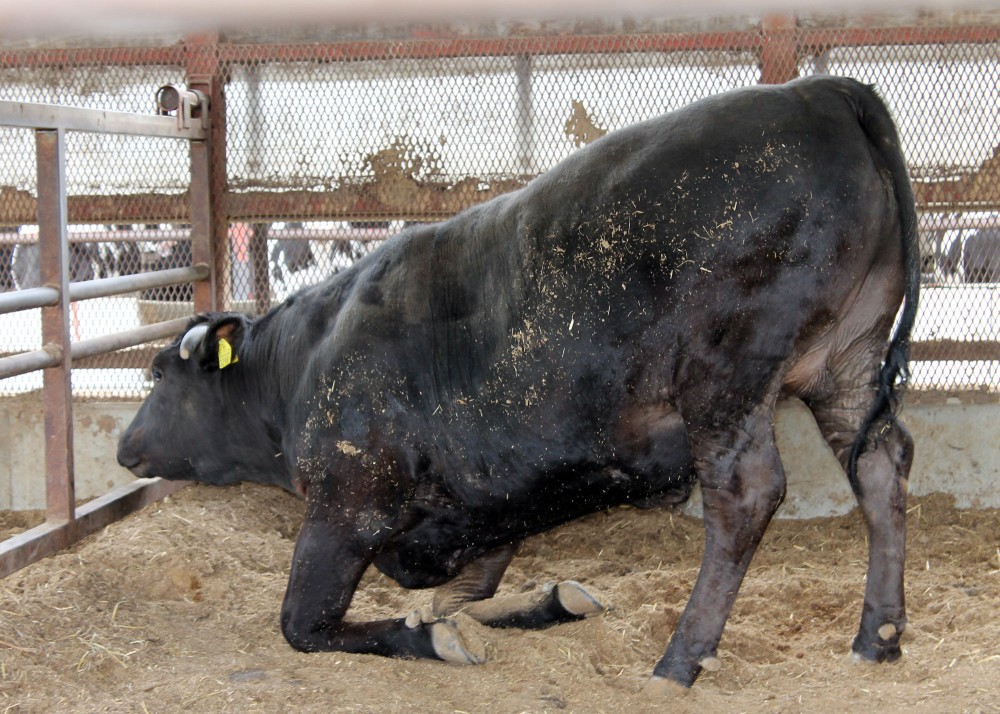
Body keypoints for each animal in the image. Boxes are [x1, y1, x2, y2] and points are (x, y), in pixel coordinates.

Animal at [115, 75, 916, 688]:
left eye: (158, 373)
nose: (125, 447)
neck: (300, 364)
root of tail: (820, 90)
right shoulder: (492, 497)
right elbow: (468, 590)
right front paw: (541, 603)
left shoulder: (351, 500)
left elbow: (307, 622)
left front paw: (431, 637)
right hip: (845, 362)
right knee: (880, 465)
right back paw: (877, 638)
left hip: (727, 371)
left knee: (745, 494)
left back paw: (679, 660)